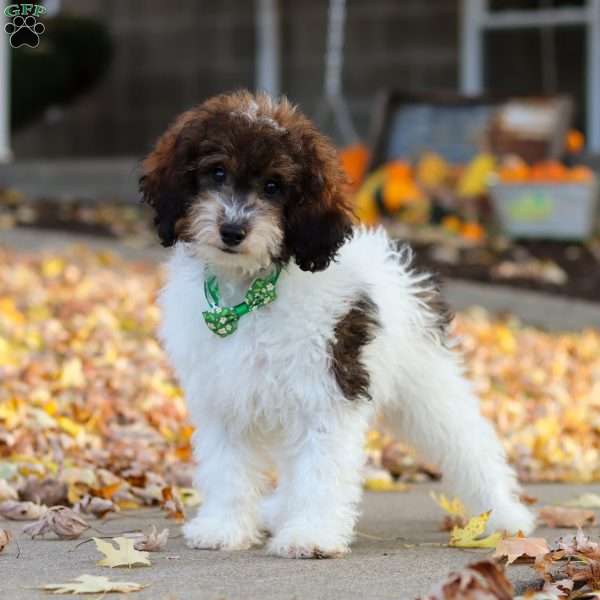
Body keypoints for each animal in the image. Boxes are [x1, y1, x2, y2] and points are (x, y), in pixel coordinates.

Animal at [141, 91, 536, 560]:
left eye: (274, 186)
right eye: (216, 172)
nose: (233, 230)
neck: (250, 291)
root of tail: (393, 264)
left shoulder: (326, 393)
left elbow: (321, 469)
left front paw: (311, 535)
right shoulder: (225, 397)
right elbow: (227, 467)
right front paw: (224, 527)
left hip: (428, 387)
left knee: (468, 445)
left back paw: (504, 516)